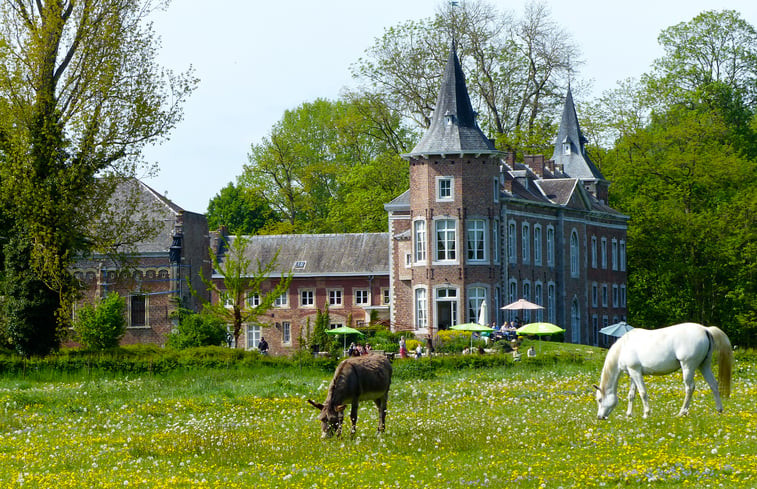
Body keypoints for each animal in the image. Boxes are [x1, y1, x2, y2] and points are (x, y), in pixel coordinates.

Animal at [592, 320, 728, 420]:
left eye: (600, 399)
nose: (599, 417)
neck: (623, 348)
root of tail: (705, 329)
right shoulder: (633, 373)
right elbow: (631, 395)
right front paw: (629, 414)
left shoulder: (636, 372)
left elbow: (642, 392)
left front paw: (646, 414)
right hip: (704, 365)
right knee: (713, 384)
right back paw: (719, 410)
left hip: (688, 366)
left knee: (690, 388)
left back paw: (681, 412)